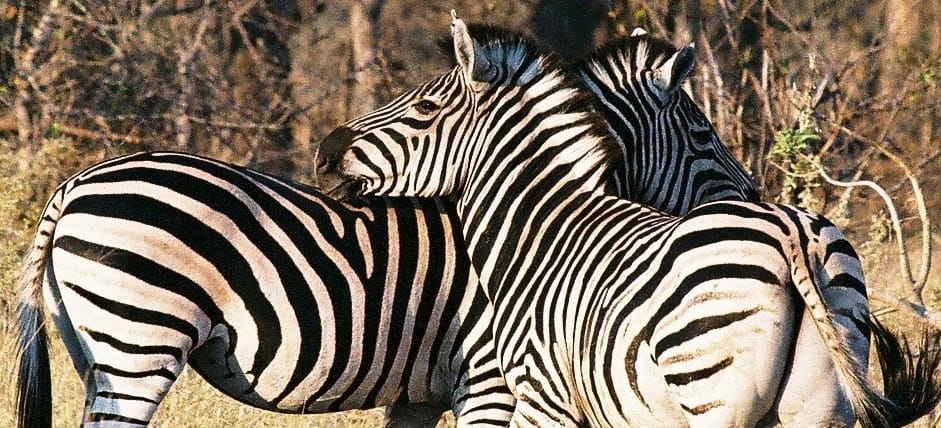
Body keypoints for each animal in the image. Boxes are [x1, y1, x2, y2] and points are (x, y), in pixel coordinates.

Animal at [316, 11, 940, 426]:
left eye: (423, 107)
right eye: (704, 131)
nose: (323, 151)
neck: (539, 225)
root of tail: (789, 234)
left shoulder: (538, 398)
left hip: (709, 391)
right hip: (819, 400)